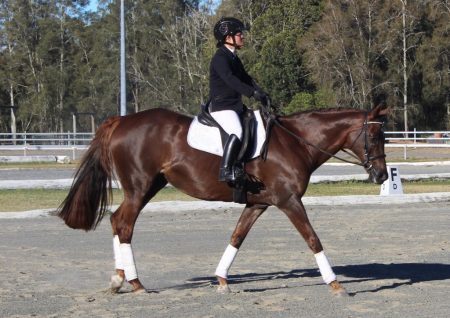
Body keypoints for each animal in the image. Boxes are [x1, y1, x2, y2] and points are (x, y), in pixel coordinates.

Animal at [57, 104, 386, 296]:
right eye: (375, 136)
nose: (382, 176)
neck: (295, 142)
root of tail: (121, 120)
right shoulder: (289, 201)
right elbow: (312, 238)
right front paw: (335, 283)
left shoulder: (258, 203)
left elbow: (237, 236)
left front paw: (222, 279)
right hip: (139, 187)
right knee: (124, 224)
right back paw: (135, 283)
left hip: (150, 186)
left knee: (116, 220)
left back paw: (119, 279)